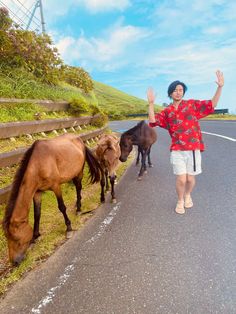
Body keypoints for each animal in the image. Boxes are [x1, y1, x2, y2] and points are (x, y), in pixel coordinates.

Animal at [2, 134, 101, 266]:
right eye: (7, 238)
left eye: (16, 239)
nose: (15, 262)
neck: (38, 164)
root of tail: (79, 139)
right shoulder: (37, 192)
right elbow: (37, 214)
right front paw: (35, 237)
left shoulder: (56, 186)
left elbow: (62, 207)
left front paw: (69, 228)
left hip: (79, 172)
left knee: (78, 187)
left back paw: (79, 208)